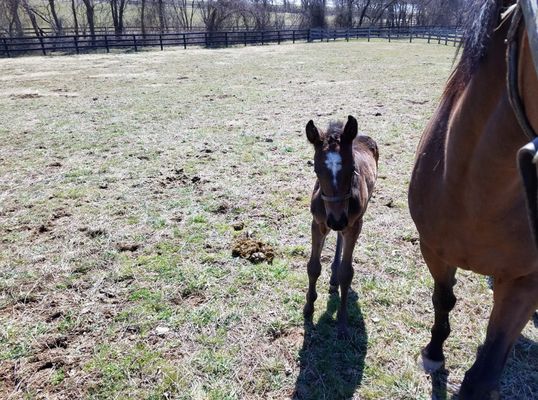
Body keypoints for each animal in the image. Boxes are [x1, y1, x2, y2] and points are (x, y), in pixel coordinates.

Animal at [302, 115, 376, 338]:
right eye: (316, 170)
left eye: (352, 169)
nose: (336, 220)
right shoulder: (318, 223)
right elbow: (313, 267)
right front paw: (308, 308)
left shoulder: (353, 225)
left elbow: (347, 272)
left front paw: (342, 323)